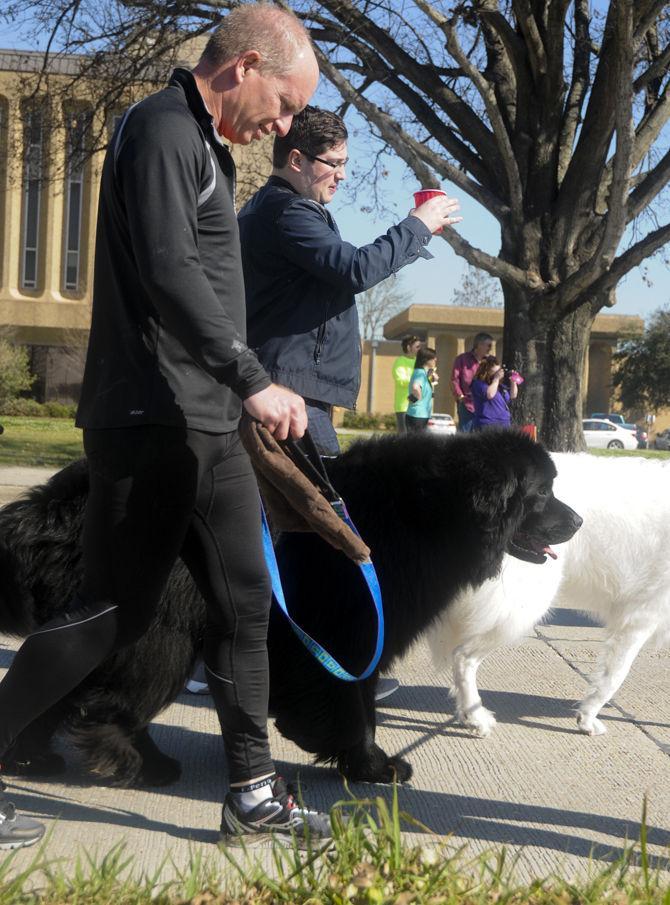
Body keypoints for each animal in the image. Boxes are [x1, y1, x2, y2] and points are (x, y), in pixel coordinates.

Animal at [0, 430, 580, 784]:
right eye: (542, 493)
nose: (577, 521)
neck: (430, 514)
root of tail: (55, 505)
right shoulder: (349, 631)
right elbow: (354, 704)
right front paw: (371, 764)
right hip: (163, 628)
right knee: (114, 698)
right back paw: (139, 760)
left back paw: (32, 755)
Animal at [428, 450, 670, 736]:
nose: (579, 522)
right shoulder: (642, 616)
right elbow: (614, 677)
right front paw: (587, 718)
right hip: (519, 608)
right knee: (463, 658)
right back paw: (476, 717)